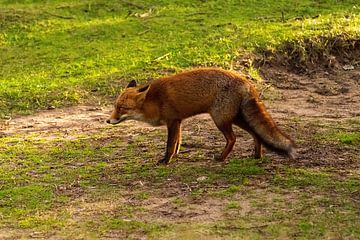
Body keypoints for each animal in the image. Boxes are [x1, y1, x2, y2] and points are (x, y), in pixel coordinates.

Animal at [106, 68, 296, 165]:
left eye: (121, 108)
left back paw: (221, 158)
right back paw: (257, 156)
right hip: (235, 118)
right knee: (256, 134)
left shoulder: (172, 121)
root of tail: (245, 81)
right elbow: (178, 143)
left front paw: (166, 161)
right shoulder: (178, 121)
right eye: (114, 106)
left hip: (220, 119)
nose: (108, 120)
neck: (154, 101)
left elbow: (170, 145)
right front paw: (175, 157)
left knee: (233, 138)